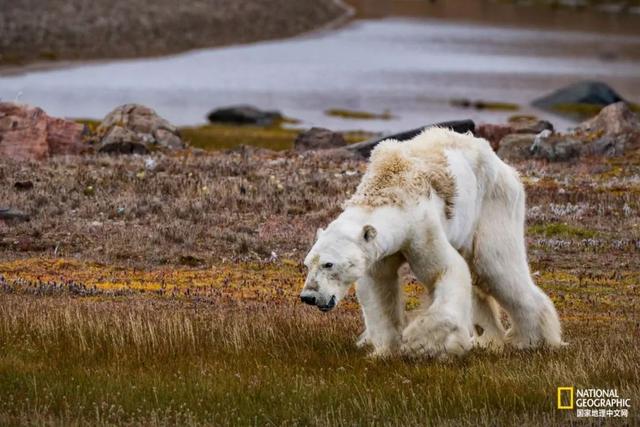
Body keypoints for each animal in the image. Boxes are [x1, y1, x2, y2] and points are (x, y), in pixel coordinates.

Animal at [298, 127, 560, 358]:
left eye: (329, 264)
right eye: (308, 264)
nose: (308, 297)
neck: (389, 188)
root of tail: (505, 167)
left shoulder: (421, 227)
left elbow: (445, 271)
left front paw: (419, 342)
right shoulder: (379, 251)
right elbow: (378, 287)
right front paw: (384, 351)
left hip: (493, 204)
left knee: (496, 266)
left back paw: (531, 340)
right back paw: (487, 340)